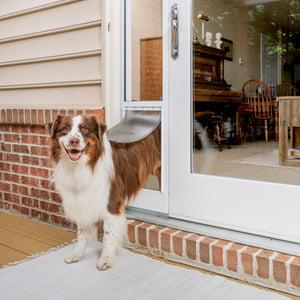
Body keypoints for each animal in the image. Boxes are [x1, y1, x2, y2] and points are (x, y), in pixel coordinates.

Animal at [48, 113, 162, 270]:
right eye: (65, 128)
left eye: (85, 129)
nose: (74, 141)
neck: (82, 166)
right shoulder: (81, 199)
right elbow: (81, 231)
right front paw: (77, 253)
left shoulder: (111, 201)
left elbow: (109, 233)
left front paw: (106, 258)